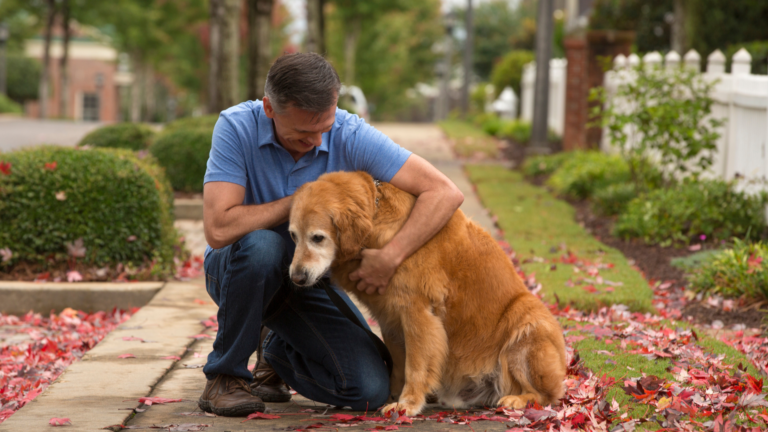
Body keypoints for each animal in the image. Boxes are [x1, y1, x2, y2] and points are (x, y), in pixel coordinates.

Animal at [286, 171, 564, 416]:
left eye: (318, 237)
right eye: (293, 236)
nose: (296, 278)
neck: (377, 220)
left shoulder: (417, 313)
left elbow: (415, 367)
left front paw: (407, 404)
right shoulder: (390, 319)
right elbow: (398, 366)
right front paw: (393, 396)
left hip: (527, 320)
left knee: (546, 395)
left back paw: (517, 399)